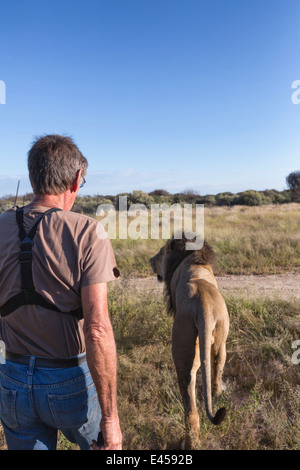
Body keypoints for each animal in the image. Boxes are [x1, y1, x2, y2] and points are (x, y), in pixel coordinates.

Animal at [150, 233, 230, 450]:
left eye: (159, 254)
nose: (150, 261)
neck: (190, 259)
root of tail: (204, 307)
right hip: (221, 337)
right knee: (217, 366)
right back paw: (218, 393)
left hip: (183, 349)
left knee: (190, 400)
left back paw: (190, 440)